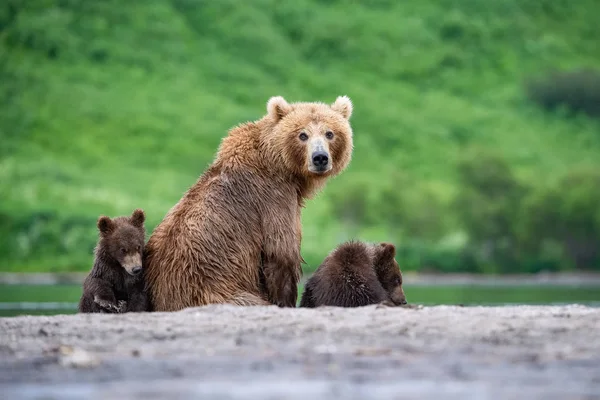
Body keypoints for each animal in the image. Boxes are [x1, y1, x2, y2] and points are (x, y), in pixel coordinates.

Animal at [143, 95, 354, 310]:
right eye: (302, 135)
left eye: (330, 133)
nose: (320, 158)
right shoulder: (273, 199)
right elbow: (281, 252)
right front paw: (285, 300)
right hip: (215, 291)